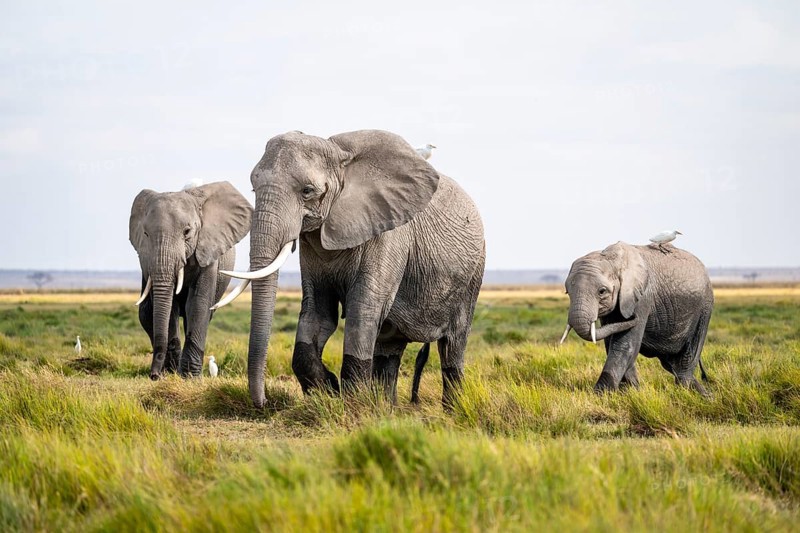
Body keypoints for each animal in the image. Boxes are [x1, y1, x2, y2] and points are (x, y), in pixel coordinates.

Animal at [129, 181, 252, 380]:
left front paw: (190, 377)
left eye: (187, 232)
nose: (154, 376)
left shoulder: (208, 249)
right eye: (145, 234)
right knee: (146, 313)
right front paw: (172, 372)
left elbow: (198, 303)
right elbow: (168, 306)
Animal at [217, 130, 485, 408]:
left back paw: (452, 409)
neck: (339, 155)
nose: (265, 402)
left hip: (472, 274)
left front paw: (353, 403)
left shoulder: (389, 233)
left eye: (307, 191)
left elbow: (363, 308)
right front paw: (329, 388)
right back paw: (388, 408)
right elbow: (318, 311)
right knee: (390, 346)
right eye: (253, 187)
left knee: (453, 344)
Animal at [561, 241, 713, 395]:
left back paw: (695, 393)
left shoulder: (642, 298)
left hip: (704, 308)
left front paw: (600, 394)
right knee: (670, 363)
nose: (633, 318)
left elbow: (625, 344)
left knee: (687, 357)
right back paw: (704, 394)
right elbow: (611, 343)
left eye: (602, 291)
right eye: (567, 292)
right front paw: (631, 391)